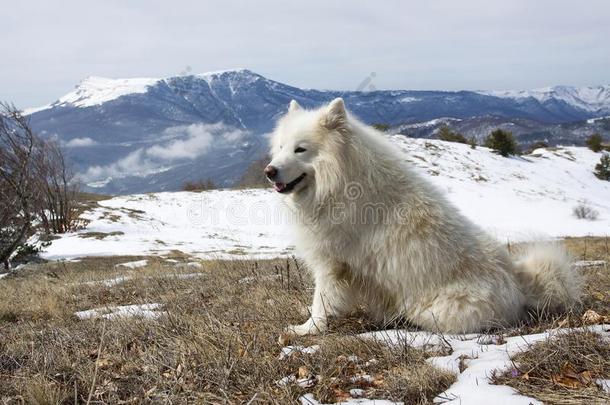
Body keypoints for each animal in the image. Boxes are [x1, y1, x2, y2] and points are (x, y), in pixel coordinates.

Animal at [264, 97, 580, 334]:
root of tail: (517, 279)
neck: (340, 181)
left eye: (300, 149)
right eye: (280, 147)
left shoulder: (333, 265)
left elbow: (321, 302)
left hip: (433, 310)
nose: (269, 171)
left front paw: (307, 330)